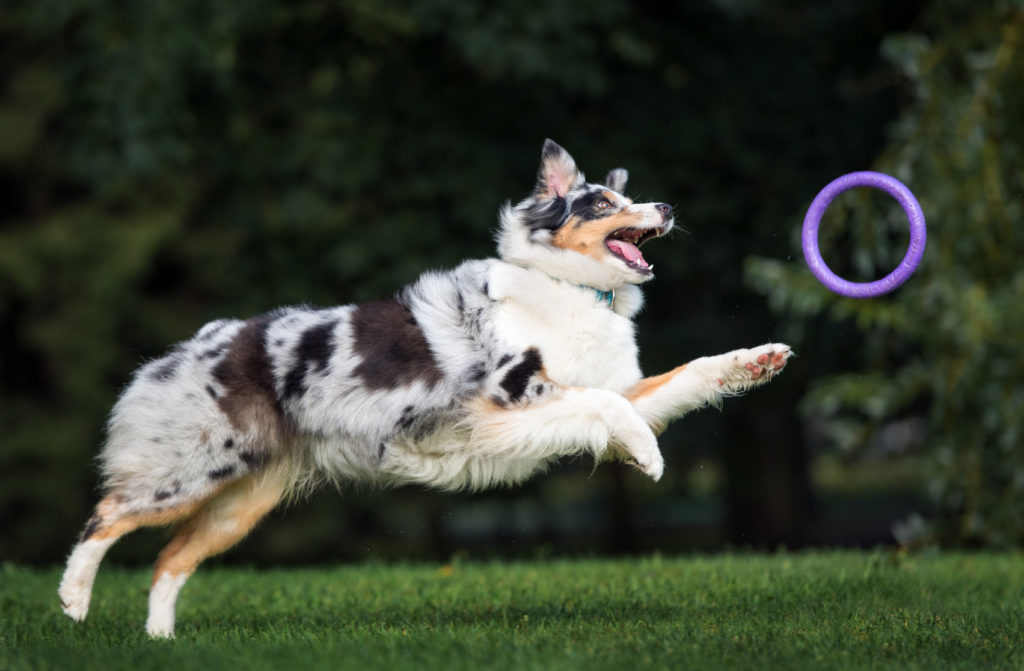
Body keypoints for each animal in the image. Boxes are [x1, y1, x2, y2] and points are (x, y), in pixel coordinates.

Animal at [58, 139, 790, 639]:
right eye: (604, 203)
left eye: (631, 198)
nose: (665, 206)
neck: (570, 288)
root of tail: (195, 343)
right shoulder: (509, 395)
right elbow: (607, 406)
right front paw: (648, 455)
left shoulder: (598, 394)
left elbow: (684, 375)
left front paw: (757, 360)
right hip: (195, 468)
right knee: (106, 514)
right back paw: (72, 602)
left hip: (242, 500)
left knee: (169, 558)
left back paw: (160, 641)